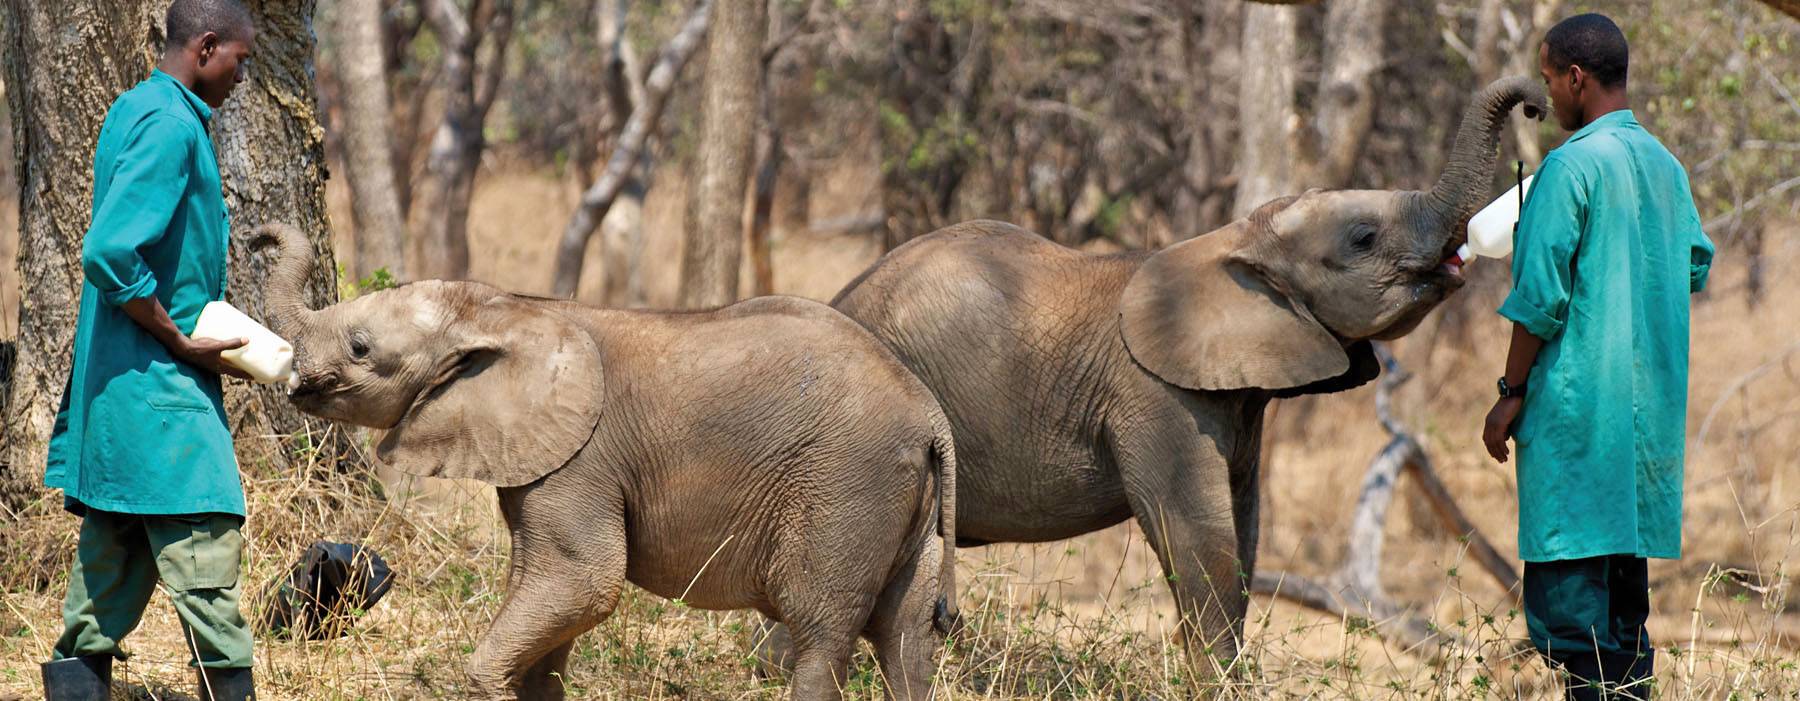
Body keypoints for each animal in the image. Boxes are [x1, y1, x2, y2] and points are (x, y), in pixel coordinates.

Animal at [257, 225, 957, 699]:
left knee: (822, 639)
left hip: (847, 487)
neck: (507, 307)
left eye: (360, 347)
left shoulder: (581, 461)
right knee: (905, 639)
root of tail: (931, 416)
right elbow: (551, 599)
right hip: (906, 506)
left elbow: (585, 583)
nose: (262, 233)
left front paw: (487, 680)